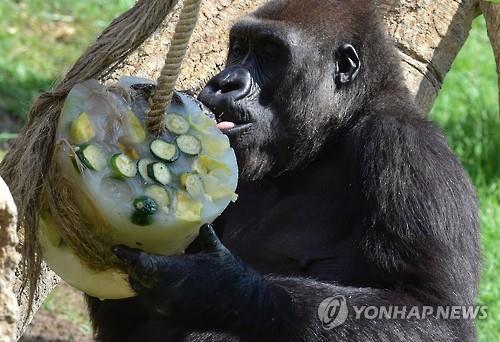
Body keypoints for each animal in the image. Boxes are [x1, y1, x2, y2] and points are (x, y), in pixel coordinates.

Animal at [86, 1, 480, 340]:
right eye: (239, 48)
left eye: (271, 54)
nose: (224, 82)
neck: (333, 134)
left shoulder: (406, 152)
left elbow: (432, 313)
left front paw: (214, 287)